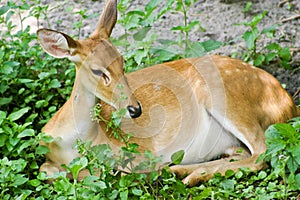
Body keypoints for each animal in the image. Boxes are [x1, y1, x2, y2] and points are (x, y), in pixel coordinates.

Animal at [36, 0, 298, 186]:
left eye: (122, 62)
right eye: (98, 70)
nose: (135, 109)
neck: (75, 140)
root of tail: (288, 103)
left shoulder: (140, 153)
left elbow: (115, 173)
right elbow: (44, 170)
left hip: (228, 99)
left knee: (263, 153)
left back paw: (183, 174)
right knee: (245, 153)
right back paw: (183, 171)